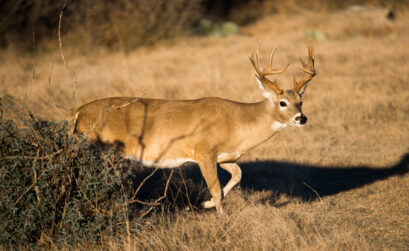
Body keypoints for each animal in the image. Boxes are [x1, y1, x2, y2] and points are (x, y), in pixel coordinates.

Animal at [73, 41, 316, 214]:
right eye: (282, 102)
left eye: (301, 101)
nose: (301, 118)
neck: (236, 124)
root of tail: (79, 112)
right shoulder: (203, 151)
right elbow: (216, 188)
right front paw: (221, 218)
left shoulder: (224, 156)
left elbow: (238, 174)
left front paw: (206, 205)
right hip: (103, 150)